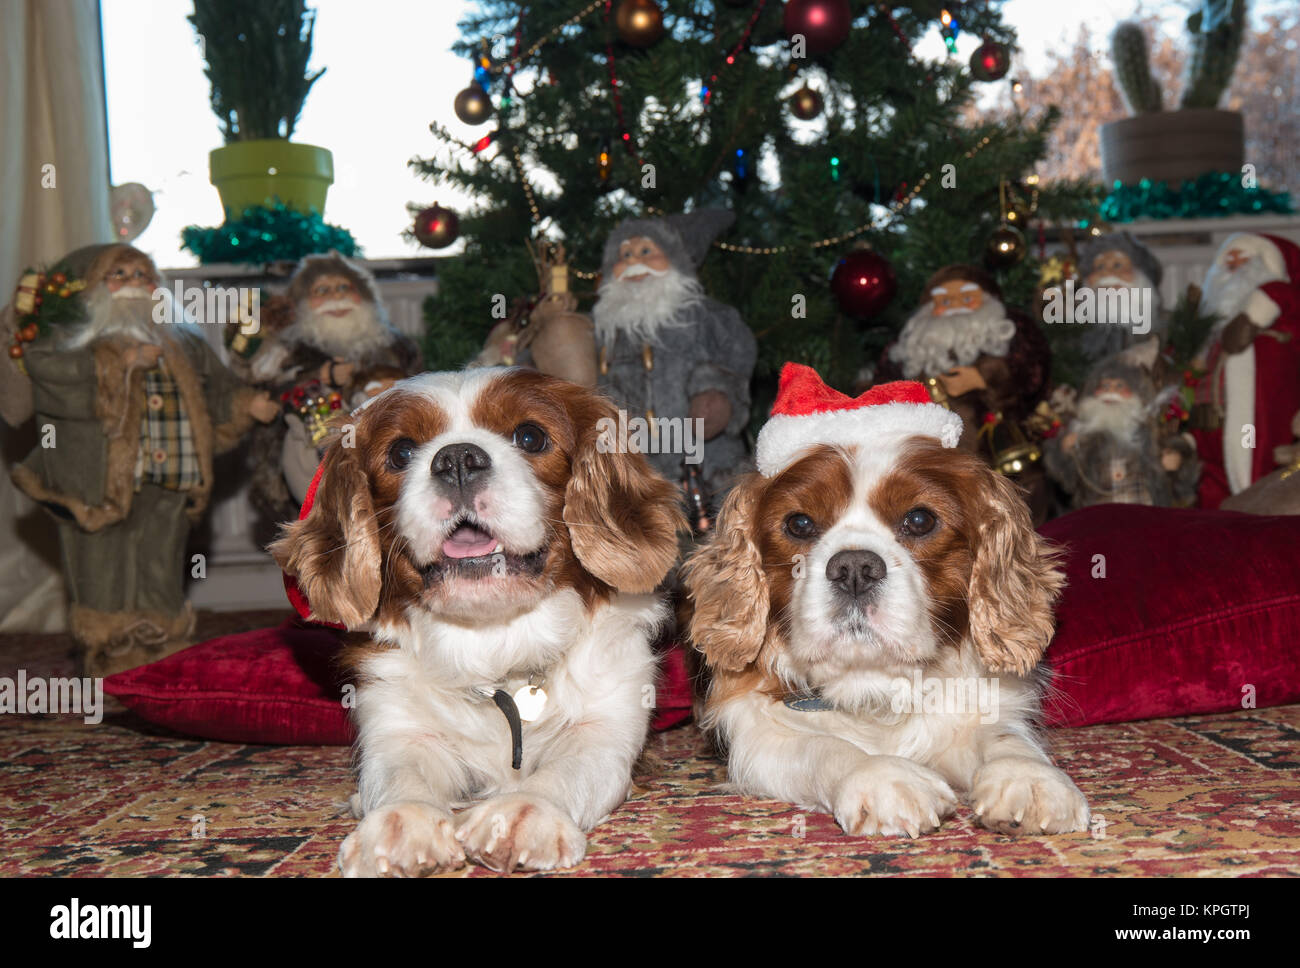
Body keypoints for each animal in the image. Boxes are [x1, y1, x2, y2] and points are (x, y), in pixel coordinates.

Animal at [270, 366, 686, 873]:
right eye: (401, 452)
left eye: (530, 436)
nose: (457, 459)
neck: (495, 644)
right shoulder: (397, 728)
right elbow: (399, 776)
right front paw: (401, 821)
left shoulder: (605, 726)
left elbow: (566, 769)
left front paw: (522, 810)